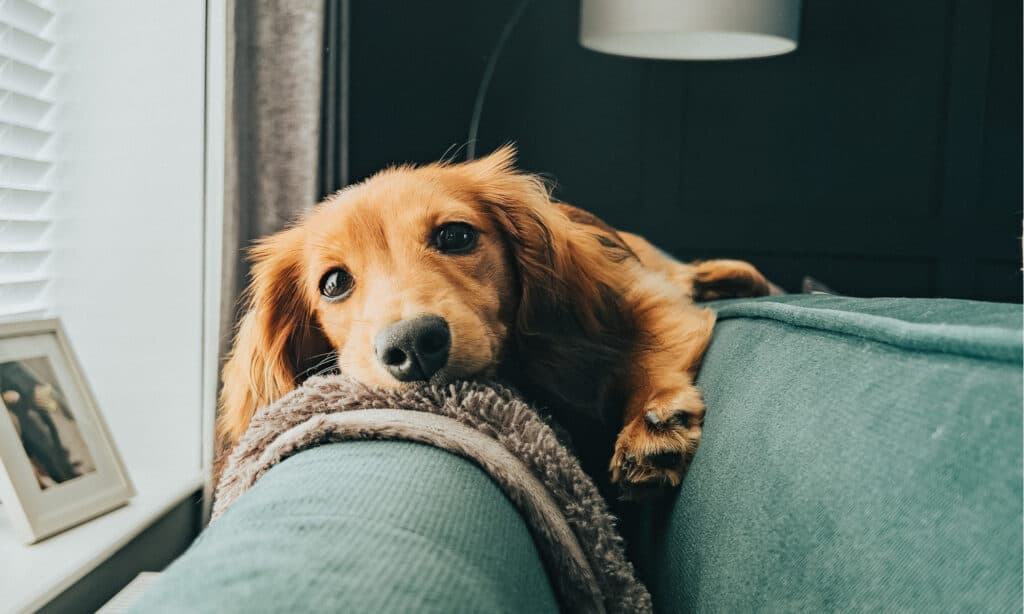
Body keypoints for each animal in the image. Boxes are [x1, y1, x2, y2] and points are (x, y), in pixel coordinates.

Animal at [218, 146, 770, 497]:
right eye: (333, 283)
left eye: (456, 235)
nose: (413, 346)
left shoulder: (643, 294)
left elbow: (650, 345)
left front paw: (652, 422)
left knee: (691, 273)